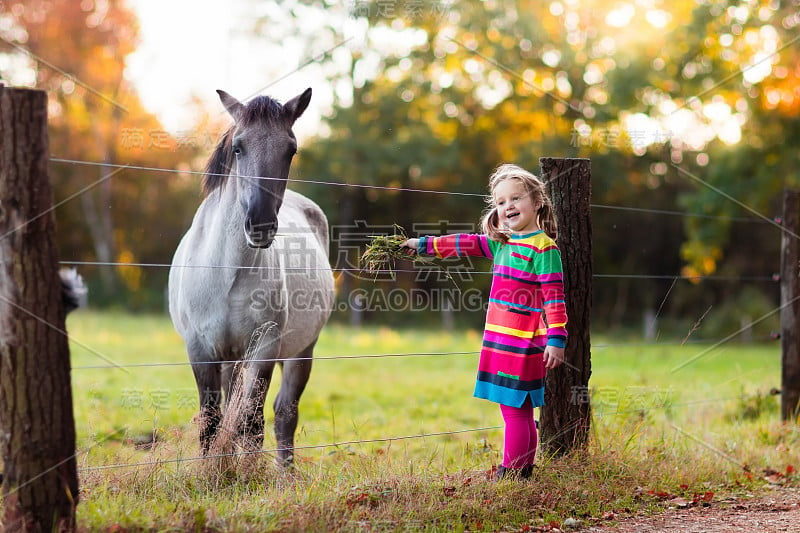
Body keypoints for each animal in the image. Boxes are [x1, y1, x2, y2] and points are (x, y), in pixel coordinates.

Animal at [167, 88, 332, 466]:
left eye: (291, 149)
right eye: (239, 147)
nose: (260, 224)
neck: (227, 273)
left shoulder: (265, 348)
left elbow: (251, 421)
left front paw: (248, 474)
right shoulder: (200, 350)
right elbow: (212, 421)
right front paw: (212, 473)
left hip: (301, 351)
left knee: (284, 413)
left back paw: (286, 474)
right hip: (232, 359)